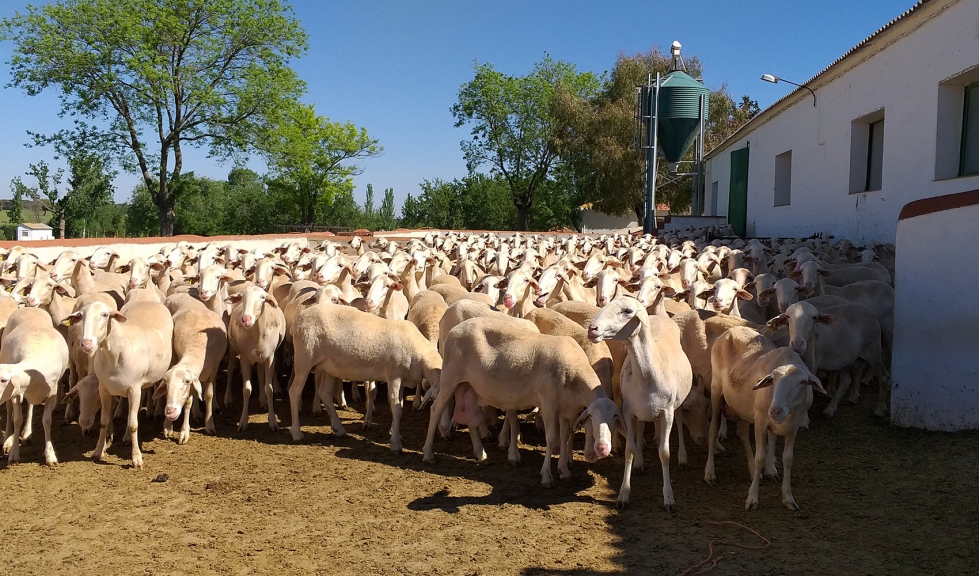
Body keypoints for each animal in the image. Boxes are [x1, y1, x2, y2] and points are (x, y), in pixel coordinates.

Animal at [0, 308, 69, 465]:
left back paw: (27, 433)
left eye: (3, 380)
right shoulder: (16, 393)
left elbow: (47, 421)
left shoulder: (52, 392)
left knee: (31, 406)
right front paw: (14, 453)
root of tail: (28, 307)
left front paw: (50, 455)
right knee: (9, 410)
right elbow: (17, 419)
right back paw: (7, 440)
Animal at [288, 303, 442, 452]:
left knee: (324, 393)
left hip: (328, 366)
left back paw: (339, 428)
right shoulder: (394, 376)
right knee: (294, 392)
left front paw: (396, 435)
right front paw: (395, 444)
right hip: (304, 357)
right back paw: (296, 433)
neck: (419, 354)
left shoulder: (402, 380)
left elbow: (400, 406)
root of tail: (296, 321)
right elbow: (396, 409)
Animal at [423, 316, 619, 488]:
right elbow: (552, 439)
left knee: (471, 419)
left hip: (470, 386)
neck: (575, 373)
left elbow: (564, 436)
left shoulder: (565, 409)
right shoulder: (548, 403)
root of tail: (455, 329)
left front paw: (564, 471)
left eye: (615, 418)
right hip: (450, 377)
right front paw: (546, 477)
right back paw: (428, 454)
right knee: (435, 410)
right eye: (592, 417)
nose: (602, 449)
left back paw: (481, 455)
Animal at [588, 294, 694, 511]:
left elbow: (664, 452)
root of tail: (660, 316)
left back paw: (683, 458)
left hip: (677, 404)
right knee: (641, 428)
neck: (649, 374)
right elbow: (629, 449)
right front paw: (623, 494)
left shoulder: (667, 412)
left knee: (679, 423)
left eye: (627, 311)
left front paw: (669, 497)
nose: (592, 329)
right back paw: (639, 463)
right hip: (640, 410)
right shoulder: (628, 411)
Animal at [704, 326, 825, 510]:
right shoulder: (760, 421)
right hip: (716, 389)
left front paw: (787, 497)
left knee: (742, 432)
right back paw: (710, 473)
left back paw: (752, 470)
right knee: (712, 431)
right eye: (772, 380)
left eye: (803, 382)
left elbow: (787, 458)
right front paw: (752, 499)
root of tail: (731, 329)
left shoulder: (793, 427)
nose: (775, 410)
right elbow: (760, 457)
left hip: (743, 406)